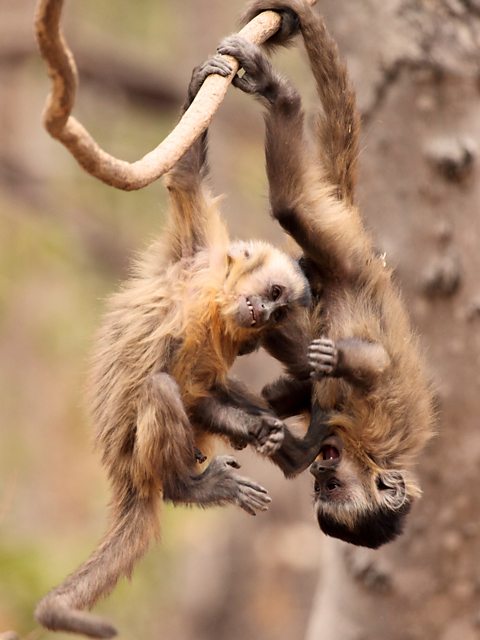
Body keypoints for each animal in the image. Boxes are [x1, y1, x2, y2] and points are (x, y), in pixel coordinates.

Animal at [218, 0, 436, 552]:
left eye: (329, 487)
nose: (321, 473)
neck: (364, 449)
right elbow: (376, 365)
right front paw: (336, 358)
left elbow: (291, 415)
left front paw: (277, 430)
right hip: (349, 256)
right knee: (292, 209)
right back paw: (282, 94)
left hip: (335, 264)